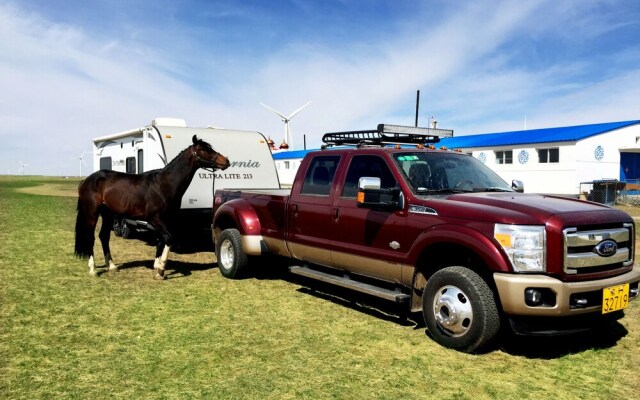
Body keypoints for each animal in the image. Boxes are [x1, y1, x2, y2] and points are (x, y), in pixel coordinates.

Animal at [75, 134, 230, 278]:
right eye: (203, 149)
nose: (226, 161)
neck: (164, 185)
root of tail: (86, 180)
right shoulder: (155, 218)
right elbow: (168, 238)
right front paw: (161, 270)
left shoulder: (167, 218)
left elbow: (160, 240)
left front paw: (157, 264)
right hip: (92, 212)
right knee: (90, 237)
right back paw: (93, 269)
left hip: (108, 213)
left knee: (103, 236)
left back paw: (112, 266)